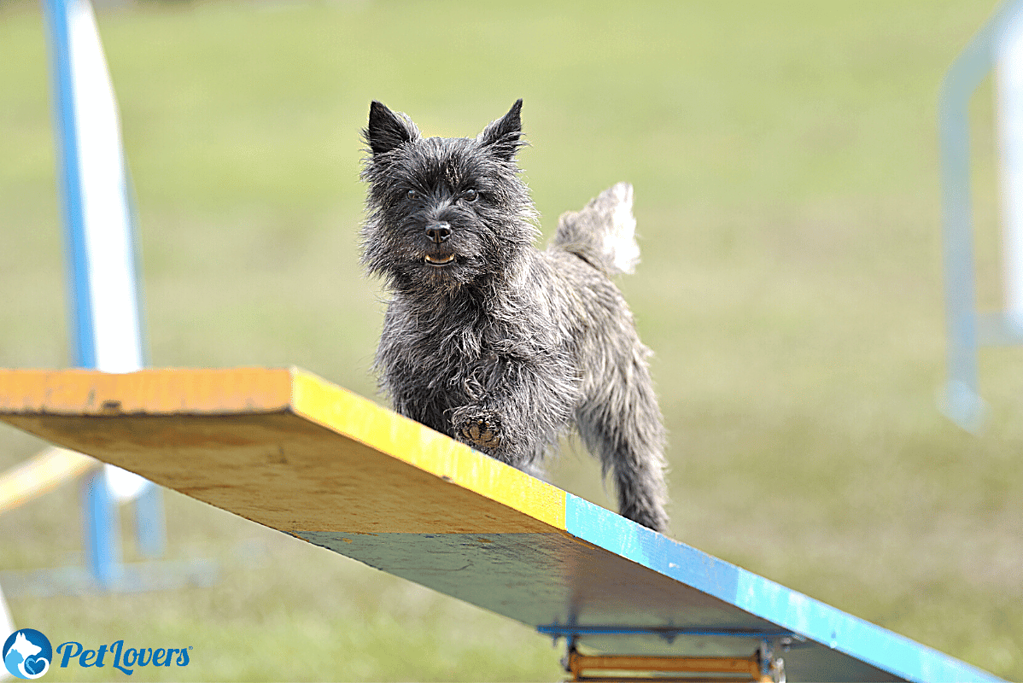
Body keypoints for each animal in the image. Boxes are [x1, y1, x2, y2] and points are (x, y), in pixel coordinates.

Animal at [360, 98, 671, 531]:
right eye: (409, 192)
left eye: (472, 194)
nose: (438, 229)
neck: (454, 300)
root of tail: (580, 256)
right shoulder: (415, 384)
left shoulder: (539, 364)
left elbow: (521, 391)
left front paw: (486, 422)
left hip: (621, 398)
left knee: (638, 460)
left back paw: (646, 519)